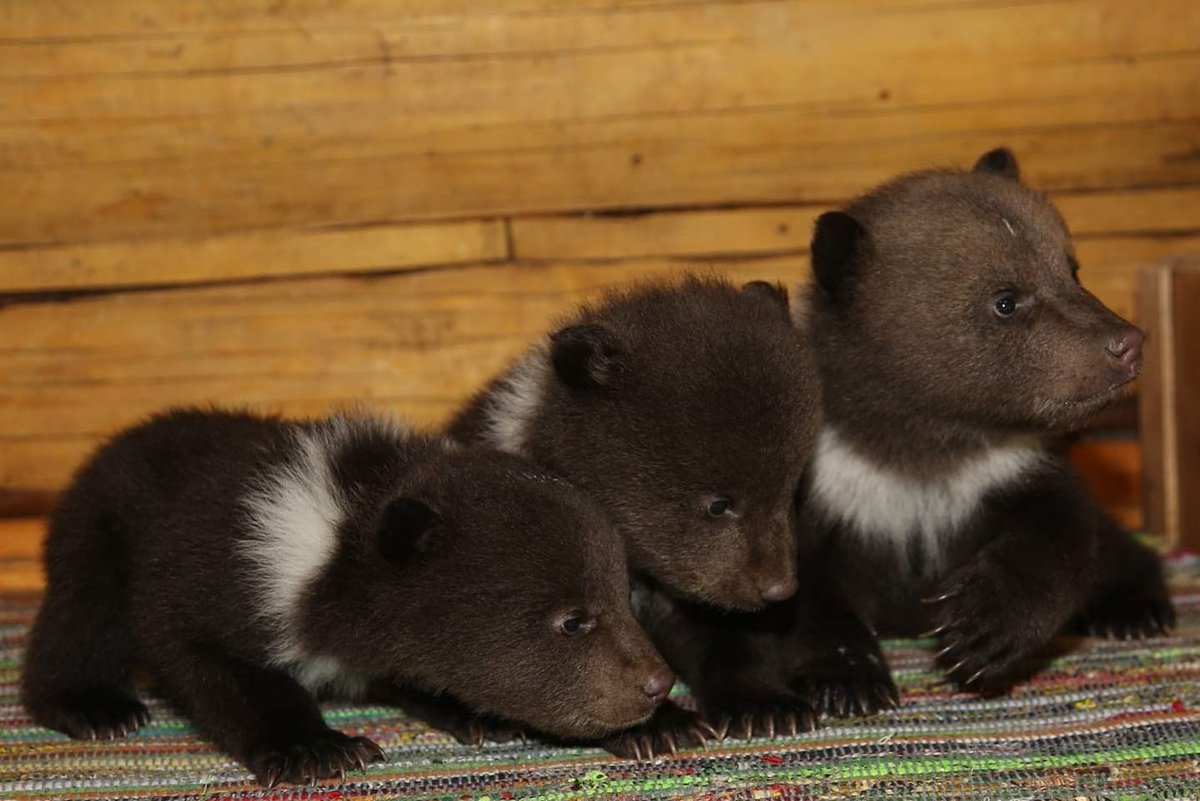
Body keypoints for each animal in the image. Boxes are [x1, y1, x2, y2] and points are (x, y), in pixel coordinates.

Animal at [22, 408, 673, 786]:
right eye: (572, 621)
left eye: (625, 595)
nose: (658, 684)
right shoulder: (215, 578)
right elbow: (208, 658)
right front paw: (314, 747)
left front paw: (664, 727)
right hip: (100, 537)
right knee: (82, 620)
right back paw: (93, 706)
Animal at [450, 276, 830, 755]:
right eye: (718, 504)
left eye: (789, 491)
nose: (779, 588)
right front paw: (661, 726)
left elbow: (721, 635)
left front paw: (766, 705)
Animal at [781, 148, 1174, 712]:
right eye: (1006, 299)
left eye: (1071, 268)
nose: (1127, 343)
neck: (923, 439)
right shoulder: (832, 482)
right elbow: (802, 586)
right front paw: (846, 678)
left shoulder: (1009, 467)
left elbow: (1059, 533)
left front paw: (979, 629)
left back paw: (1136, 609)